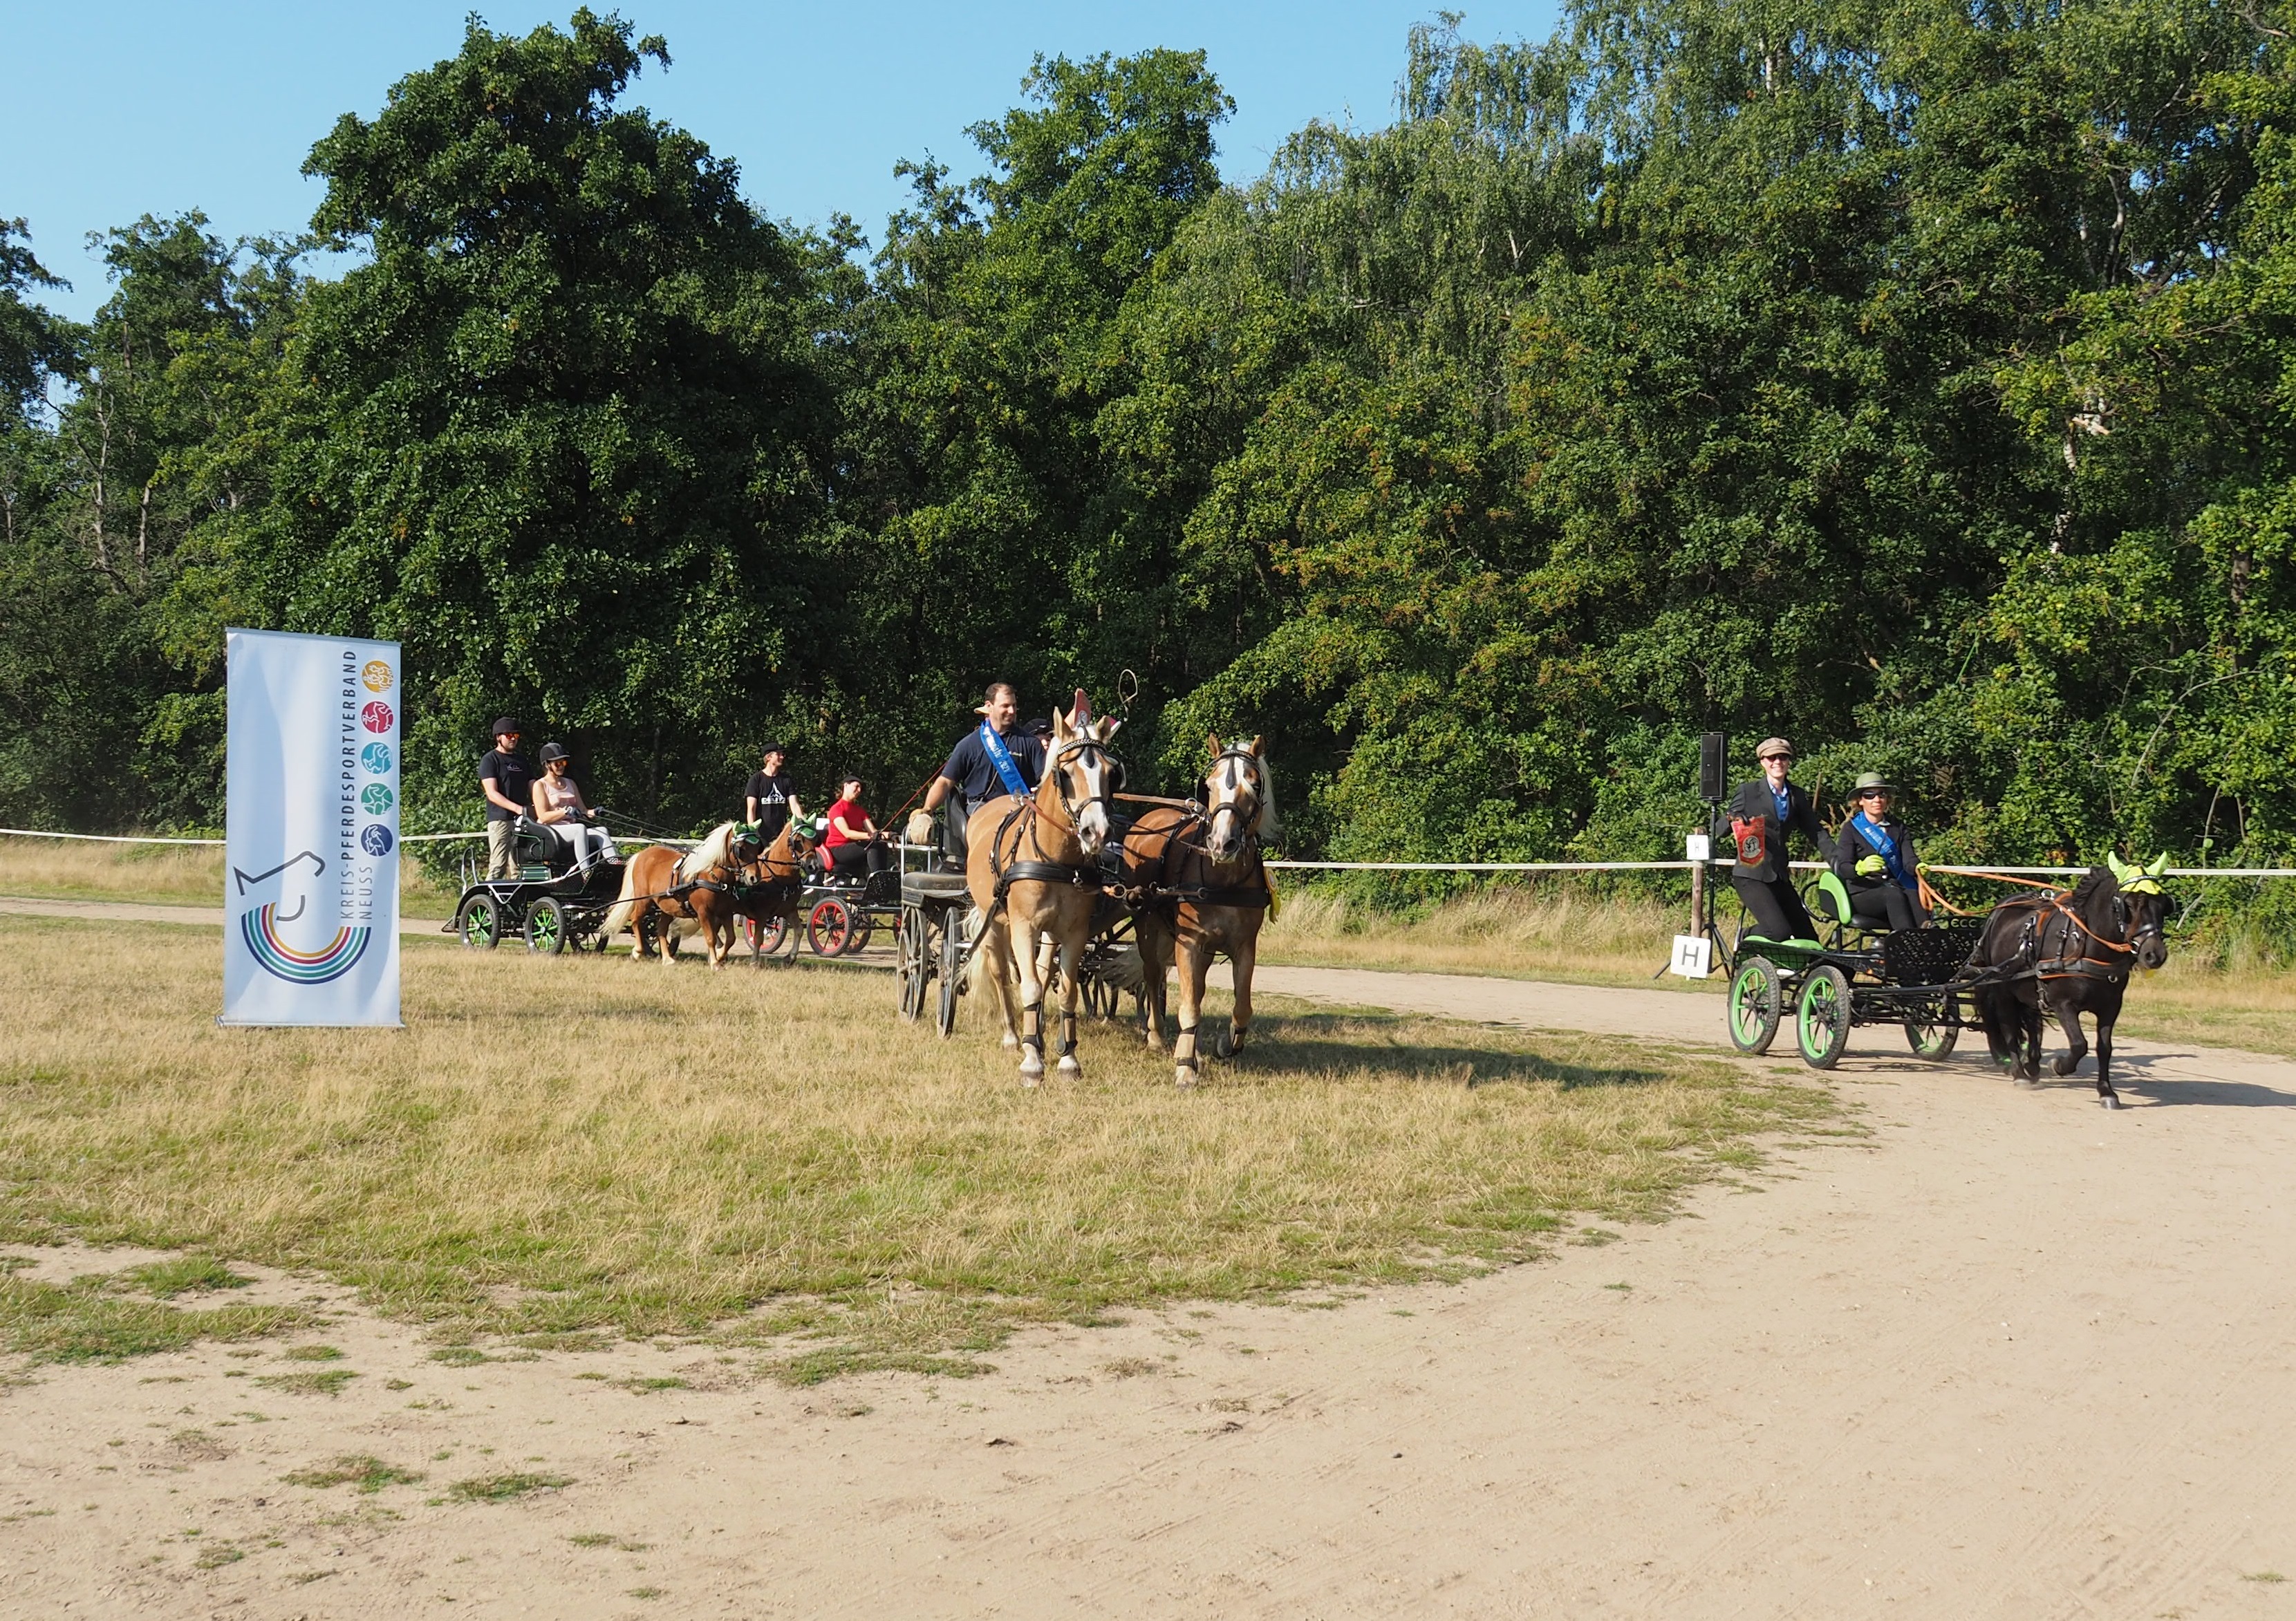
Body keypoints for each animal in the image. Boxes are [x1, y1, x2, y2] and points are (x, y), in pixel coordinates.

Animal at [601, 812, 817, 964]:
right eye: (798, 841)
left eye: (815, 839)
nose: (813, 866)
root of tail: (642, 854)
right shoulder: (756, 913)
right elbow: (751, 938)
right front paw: (746, 962)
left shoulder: (784, 910)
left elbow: (798, 930)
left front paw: (790, 957)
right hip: (645, 900)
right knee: (637, 921)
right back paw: (638, 951)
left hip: (668, 906)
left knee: (661, 928)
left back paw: (668, 958)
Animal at [960, 688, 1120, 1079]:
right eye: (1065, 773)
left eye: (1111, 773)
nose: (1096, 832)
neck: (1057, 859)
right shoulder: (1023, 926)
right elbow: (1029, 987)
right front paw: (1032, 1060)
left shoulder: (1074, 931)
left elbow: (1065, 989)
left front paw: (1068, 1058)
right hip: (993, 921)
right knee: (1001, 973)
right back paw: (1012, 1035)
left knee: (1045, 971)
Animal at [1116, 734, 1276, 1083]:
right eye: (1210, 784)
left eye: (1254, 784)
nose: (1222, 844)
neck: (1224, 879)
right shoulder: (1188, 943)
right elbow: (1189, 1005)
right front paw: (1185, 1068)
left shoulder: (1245, 946)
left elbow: (1241, 1006)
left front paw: (1226, 1045)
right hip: (1146, 923)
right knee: (1153, 975)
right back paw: (1157, 1036)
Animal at [1975, 854, 2167, 1106]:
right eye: (2129, 905)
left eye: (2163, 904)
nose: (2155, 955)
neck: (2084, 946)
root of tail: (1999, 911)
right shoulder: (2063, 1004)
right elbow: (2079, 1044)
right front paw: (2059, 1065)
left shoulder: (2111, 1006)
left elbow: (2104, 1048)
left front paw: (2106, 1091)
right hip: (2003, 990)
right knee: (2009, 1026)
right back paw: (2019, 1073)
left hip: (2030, 991)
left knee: (2033, 1023)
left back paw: (2032, 1065)